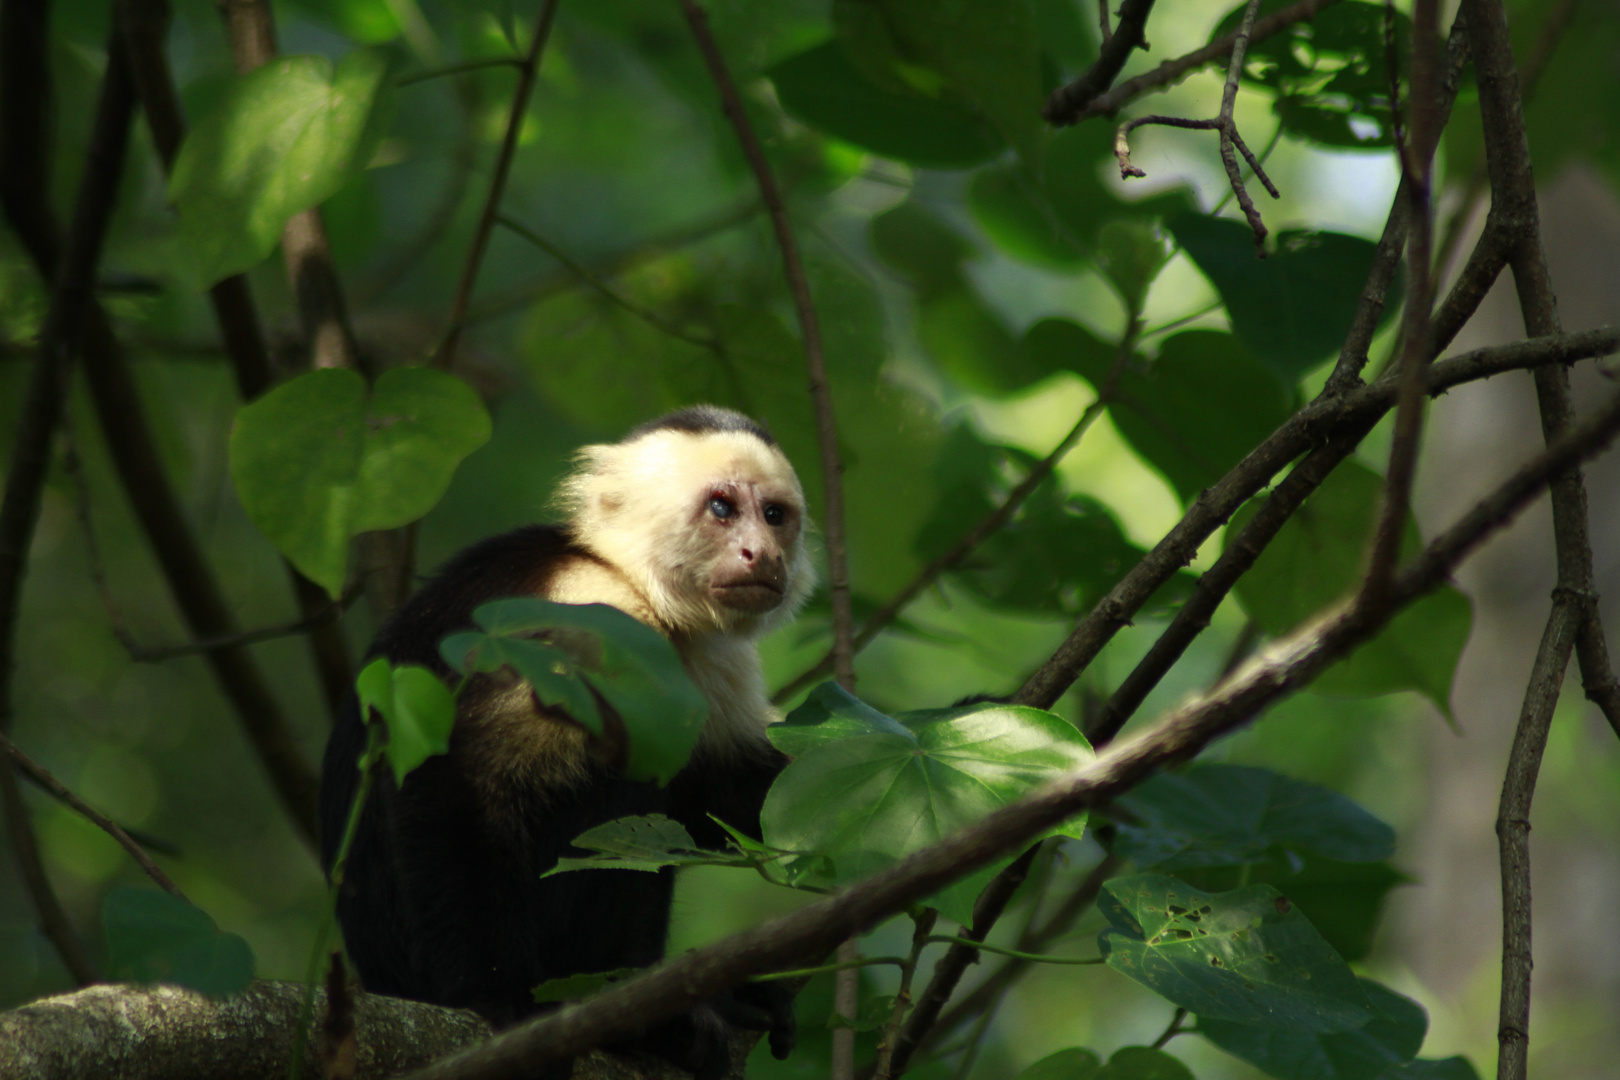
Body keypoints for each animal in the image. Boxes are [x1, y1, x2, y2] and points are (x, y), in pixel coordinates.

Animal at [319, 408, 810, 1080]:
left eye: (776, 515)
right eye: (721, 507)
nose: (761, 552)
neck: (633, 582)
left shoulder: (712, 663)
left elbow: (729, 796)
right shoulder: (581, 614)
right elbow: (457, 781)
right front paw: (500, 999)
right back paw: (643, 1024)